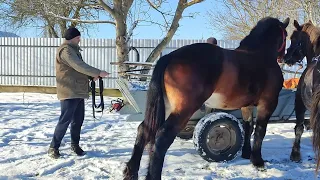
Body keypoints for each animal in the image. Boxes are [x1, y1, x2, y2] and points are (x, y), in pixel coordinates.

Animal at [124, 16, 288, 179]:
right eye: (286, 35)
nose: (285, 58)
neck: (259, 55)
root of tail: (170, 57)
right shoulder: (267, 104)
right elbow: (260, 131)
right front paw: (258, 161)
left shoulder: (246, 106)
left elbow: (248, 127)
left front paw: (247, 154)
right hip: (183, 110)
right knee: (162, 137)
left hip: (167, 106)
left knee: (144, 130)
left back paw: (131, 172)